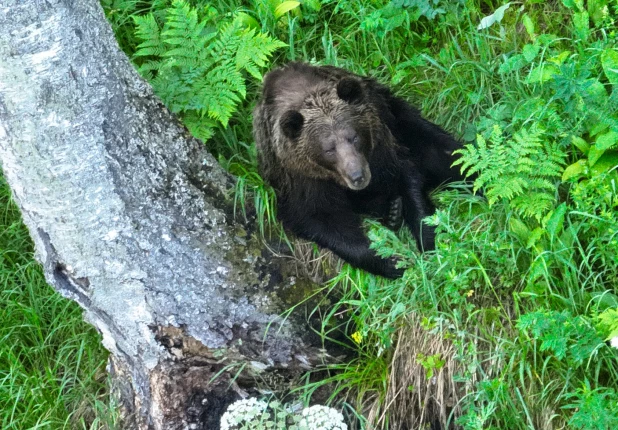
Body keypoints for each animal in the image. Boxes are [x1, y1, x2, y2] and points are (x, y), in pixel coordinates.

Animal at [251, 63, 462, 278]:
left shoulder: (380, 147)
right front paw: (391, 262)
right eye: (329, 149)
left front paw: (428, 239)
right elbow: (322, 219)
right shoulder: (302, 179)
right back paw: (392, 212)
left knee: (441, 151)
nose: (357, 176)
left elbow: (407, 177)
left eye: (354, 137)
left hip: (397, 115)